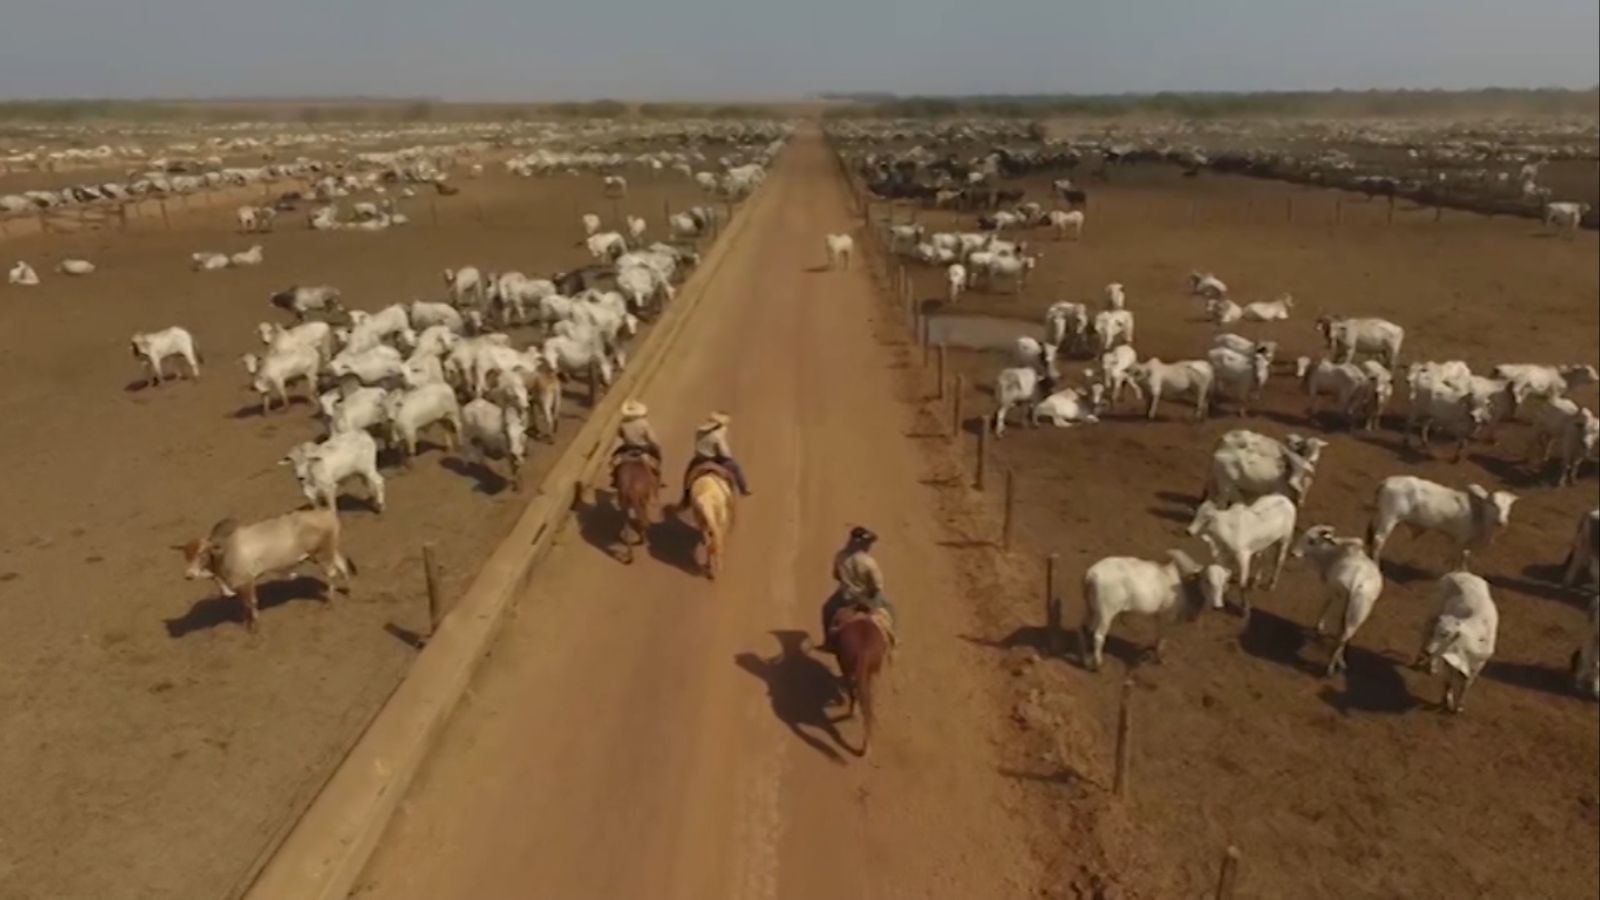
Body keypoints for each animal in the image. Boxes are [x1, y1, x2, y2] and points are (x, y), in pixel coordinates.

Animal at [832, 605, 896, 752]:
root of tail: (864, 651)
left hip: (848, 668)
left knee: (854, 695)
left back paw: (853, 713)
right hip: (874, 672)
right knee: (869, 701)